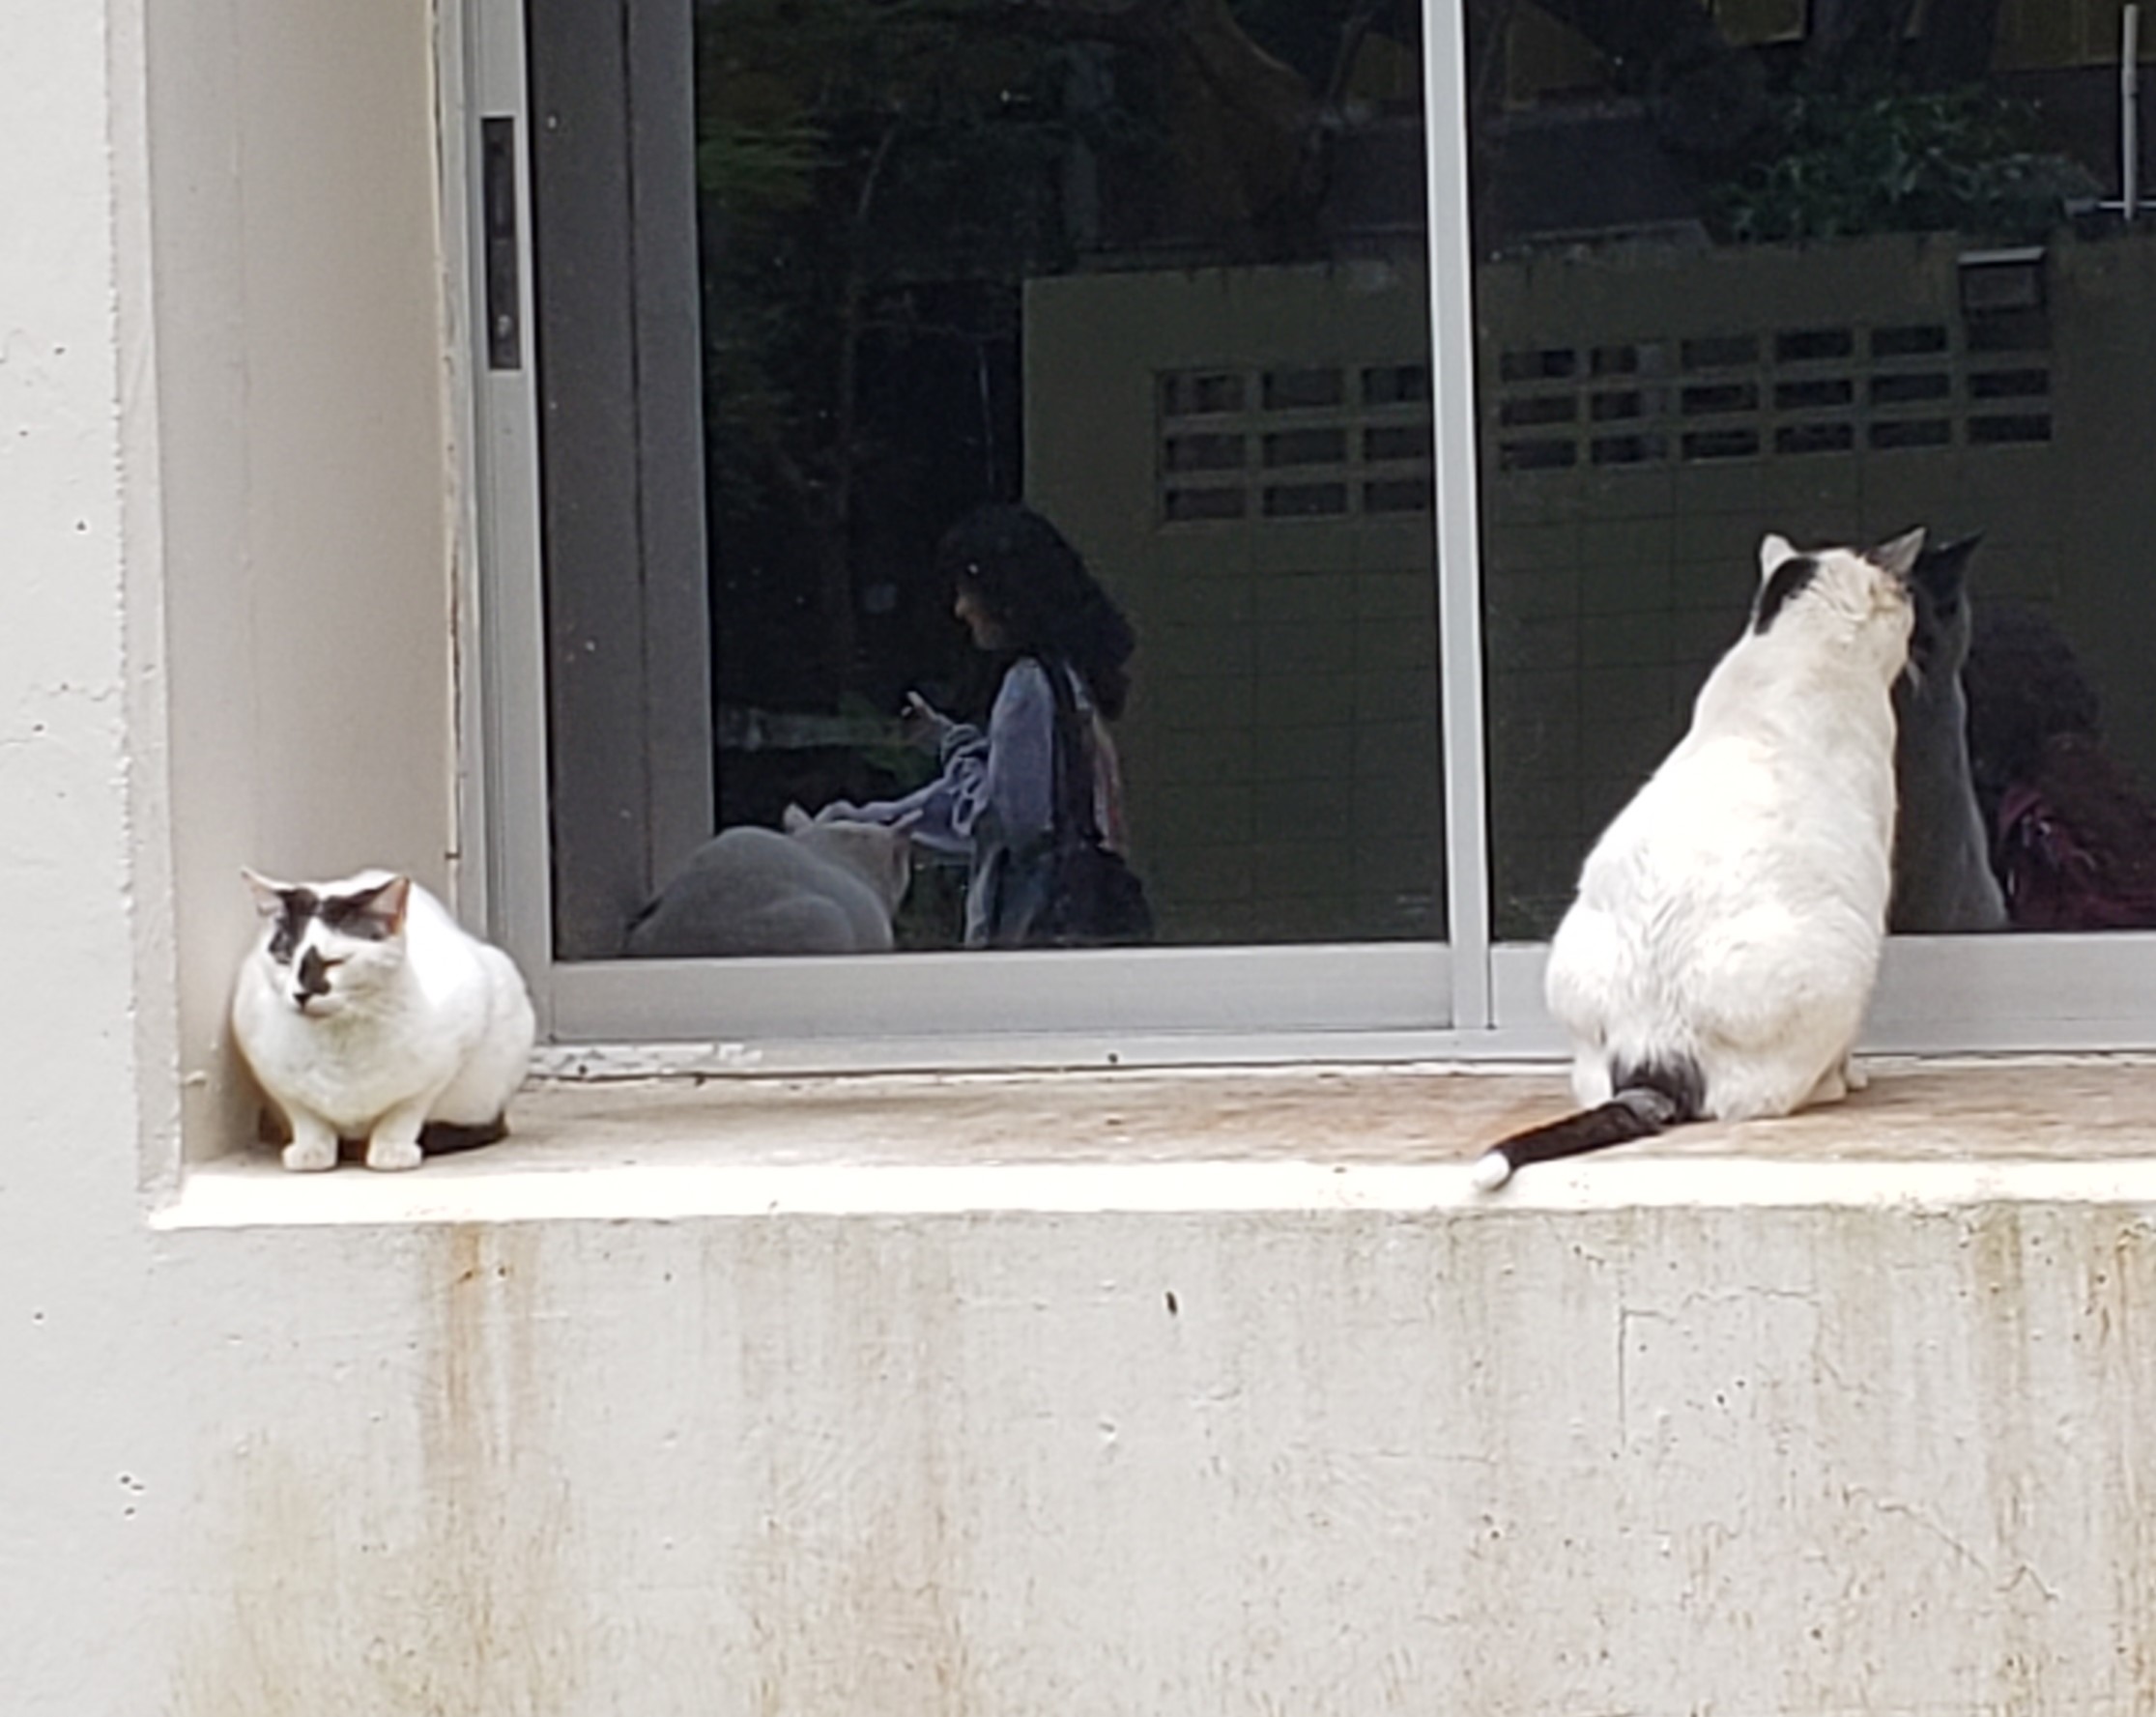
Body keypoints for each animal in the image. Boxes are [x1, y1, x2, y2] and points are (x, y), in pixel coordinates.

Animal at [231, 869, 538, 1172]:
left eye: (335, 961)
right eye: (284, 959)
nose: (300, 994)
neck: (340, 1045)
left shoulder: (447, 1054)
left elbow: (406, 1110)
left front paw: (392, 1148)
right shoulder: (267, 1068)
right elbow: (305, 1114)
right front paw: (312, 1149)